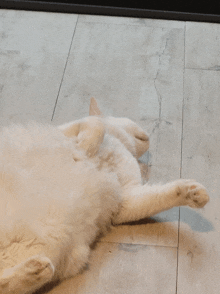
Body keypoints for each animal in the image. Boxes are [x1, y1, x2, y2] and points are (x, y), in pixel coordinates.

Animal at [0, 97, 210, 292]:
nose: (148, 136)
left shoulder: (126, 199)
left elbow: (160, 196)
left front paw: (193, 193)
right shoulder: (66, 130)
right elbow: (96, 124)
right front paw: (85, 149)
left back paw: (34, 271)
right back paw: (34, 271)